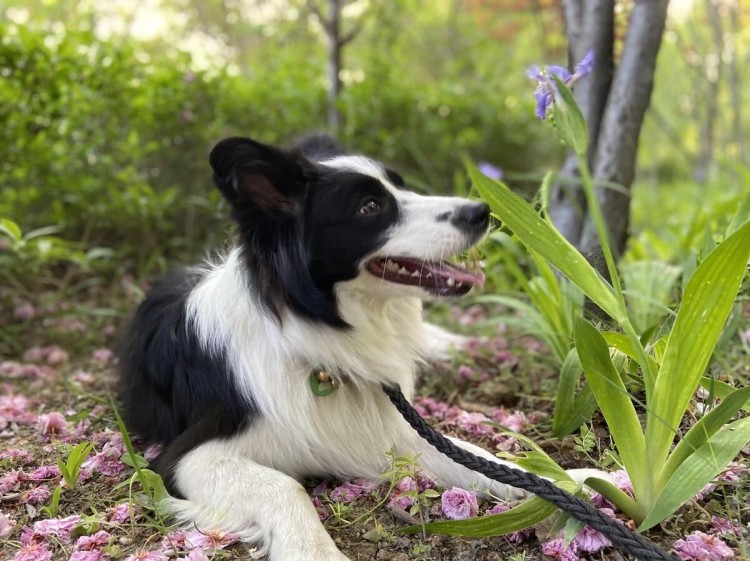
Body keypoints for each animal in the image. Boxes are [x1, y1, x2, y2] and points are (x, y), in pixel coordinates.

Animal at [120, 137, 596, 560]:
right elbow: (284, 485)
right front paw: (313, 551)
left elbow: (484, 458)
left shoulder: (397, 430)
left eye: (402, 187)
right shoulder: (184, 458)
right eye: (370, 207)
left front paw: (578, 479)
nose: (481, 211)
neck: (312, 333)